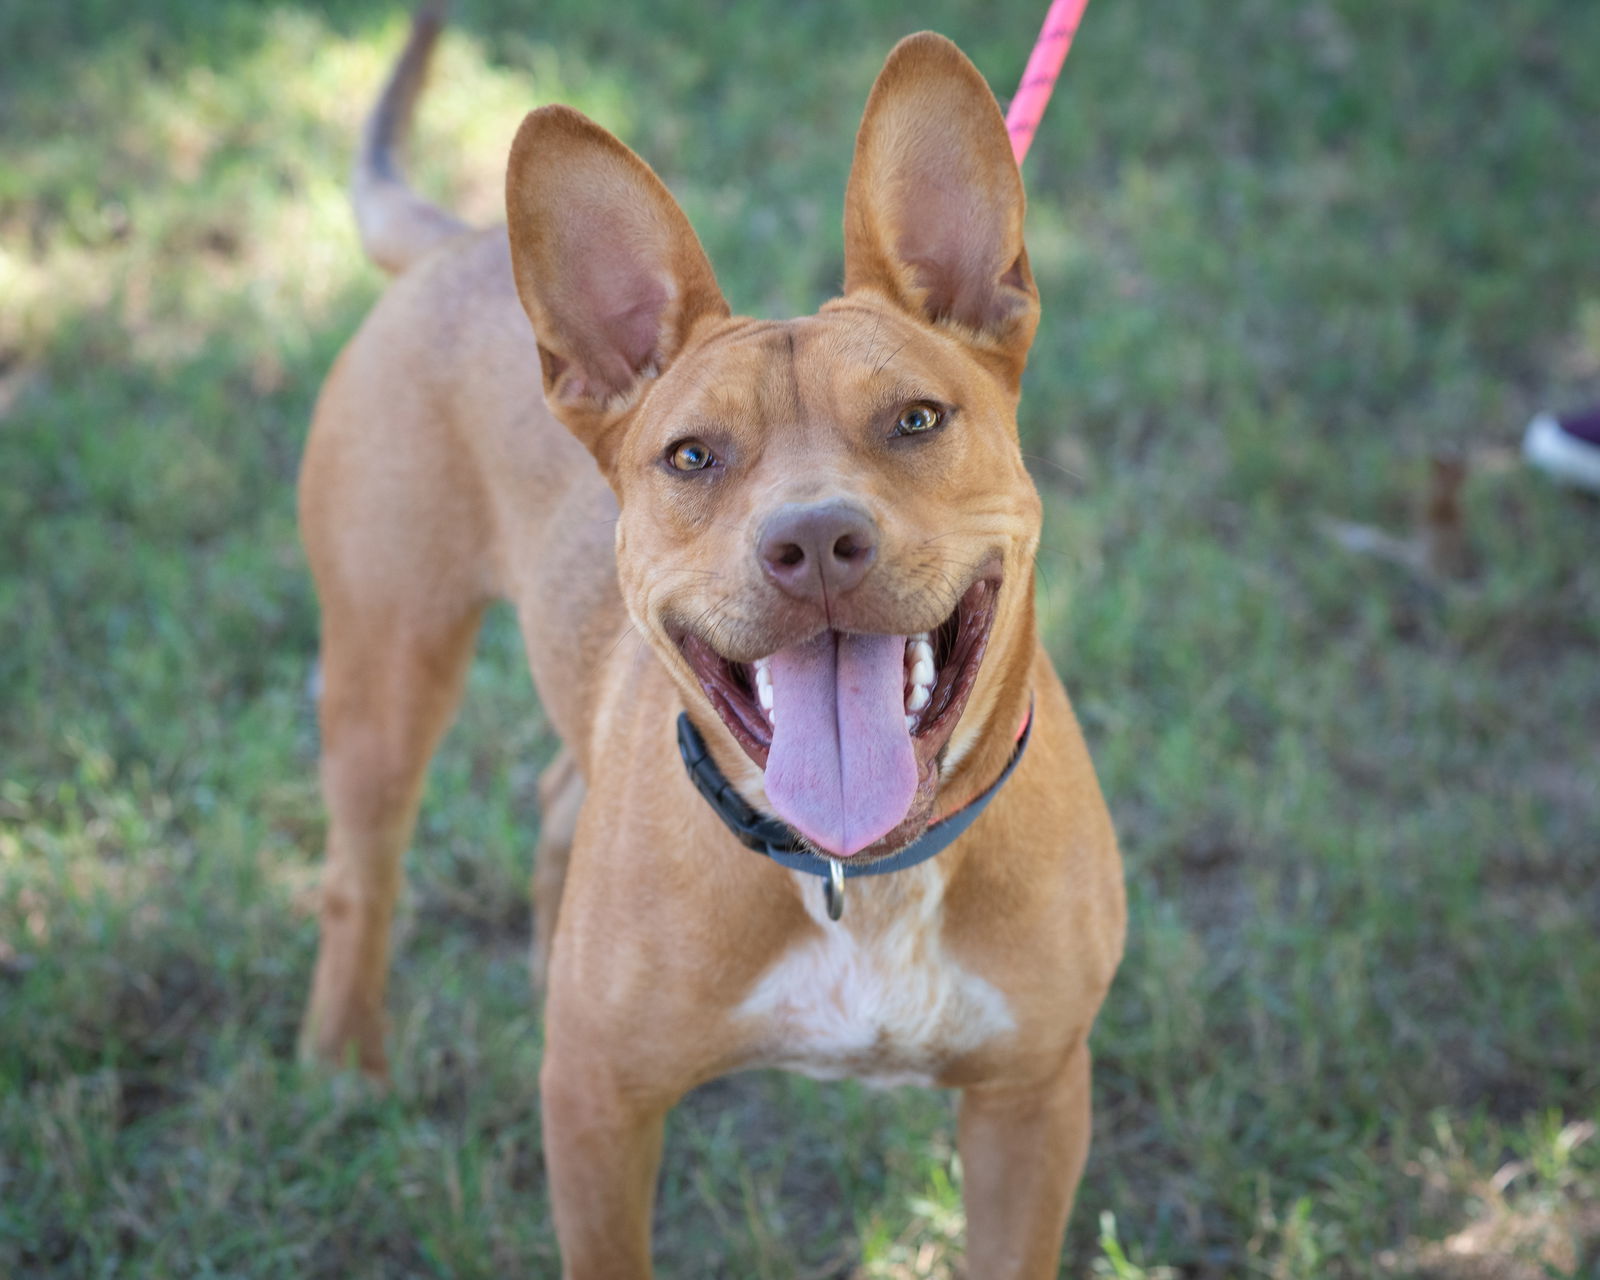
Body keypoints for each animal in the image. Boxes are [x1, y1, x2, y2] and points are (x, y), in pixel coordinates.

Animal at [300, 12, 1126, 1280]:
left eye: (915, 419)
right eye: (691, 455)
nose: (816, 539)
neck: (856, 872)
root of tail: (458, 242)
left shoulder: (1031, 1106)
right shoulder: (599, 1110)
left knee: (555, 794)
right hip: (386, 666)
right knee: (361, 873)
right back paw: (342, 1062)